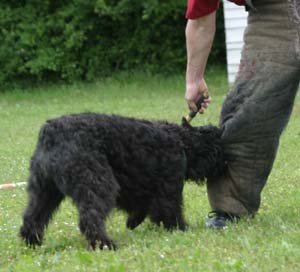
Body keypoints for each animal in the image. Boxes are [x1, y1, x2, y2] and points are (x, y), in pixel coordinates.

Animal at [19, 112, 223, 249]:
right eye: (218, 147)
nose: (225, 162)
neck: (182, 142)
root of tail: (51, 133)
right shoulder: (168, 186)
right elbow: (169, 210)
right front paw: (181, 228)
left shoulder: (133, 184)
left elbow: (141, 204)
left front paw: (133, 222)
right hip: (97, 182)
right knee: (90, 217)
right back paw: (104, 243)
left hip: (44, 189)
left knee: (33, 214)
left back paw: (31, 240)